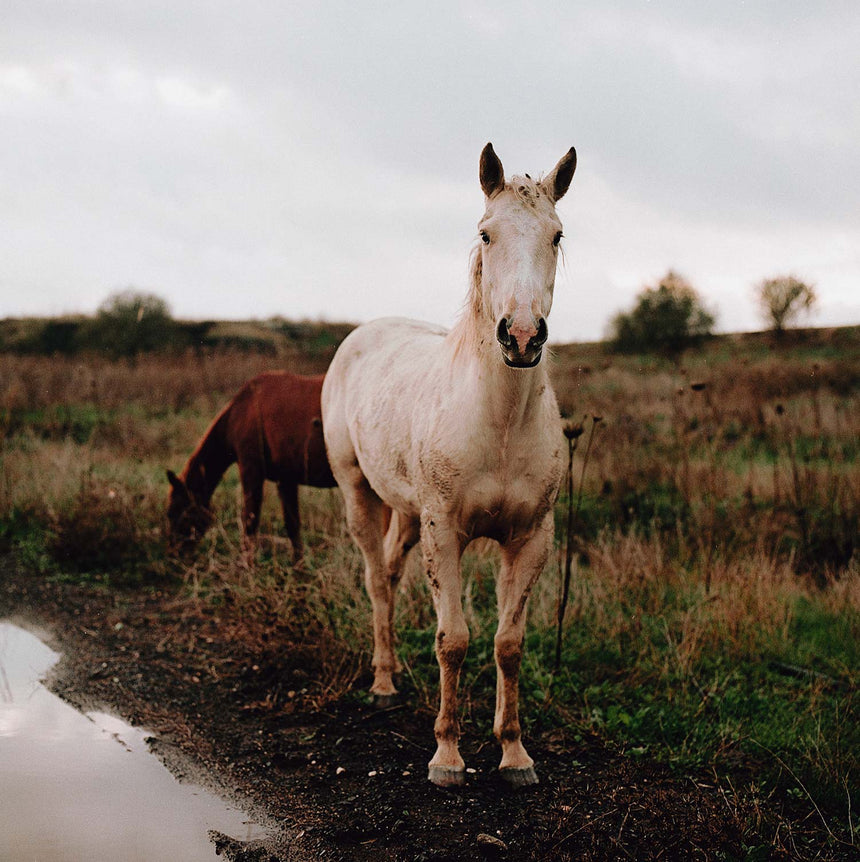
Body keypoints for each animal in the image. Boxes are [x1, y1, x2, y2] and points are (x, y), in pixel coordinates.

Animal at [165, 372, 336, 560]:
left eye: (175, 510)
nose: (174, 554)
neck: (241, 412)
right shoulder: (285, 480)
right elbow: (292, 526)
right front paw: (299, 565)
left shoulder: (251, 471)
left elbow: (249, 524)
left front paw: (247, 564)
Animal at [322, 143, 576, 788]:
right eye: (485, 233)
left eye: (557, 235)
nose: (521, 337)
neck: (500, 423)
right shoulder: (446, 533)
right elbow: (453, 639)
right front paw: (447, 756)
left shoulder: (531, 539)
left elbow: (508, 643)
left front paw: (514, 754)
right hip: (359, 492)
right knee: (375, 580)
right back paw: (383, 684)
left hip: (408, 513)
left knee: (389, 572)